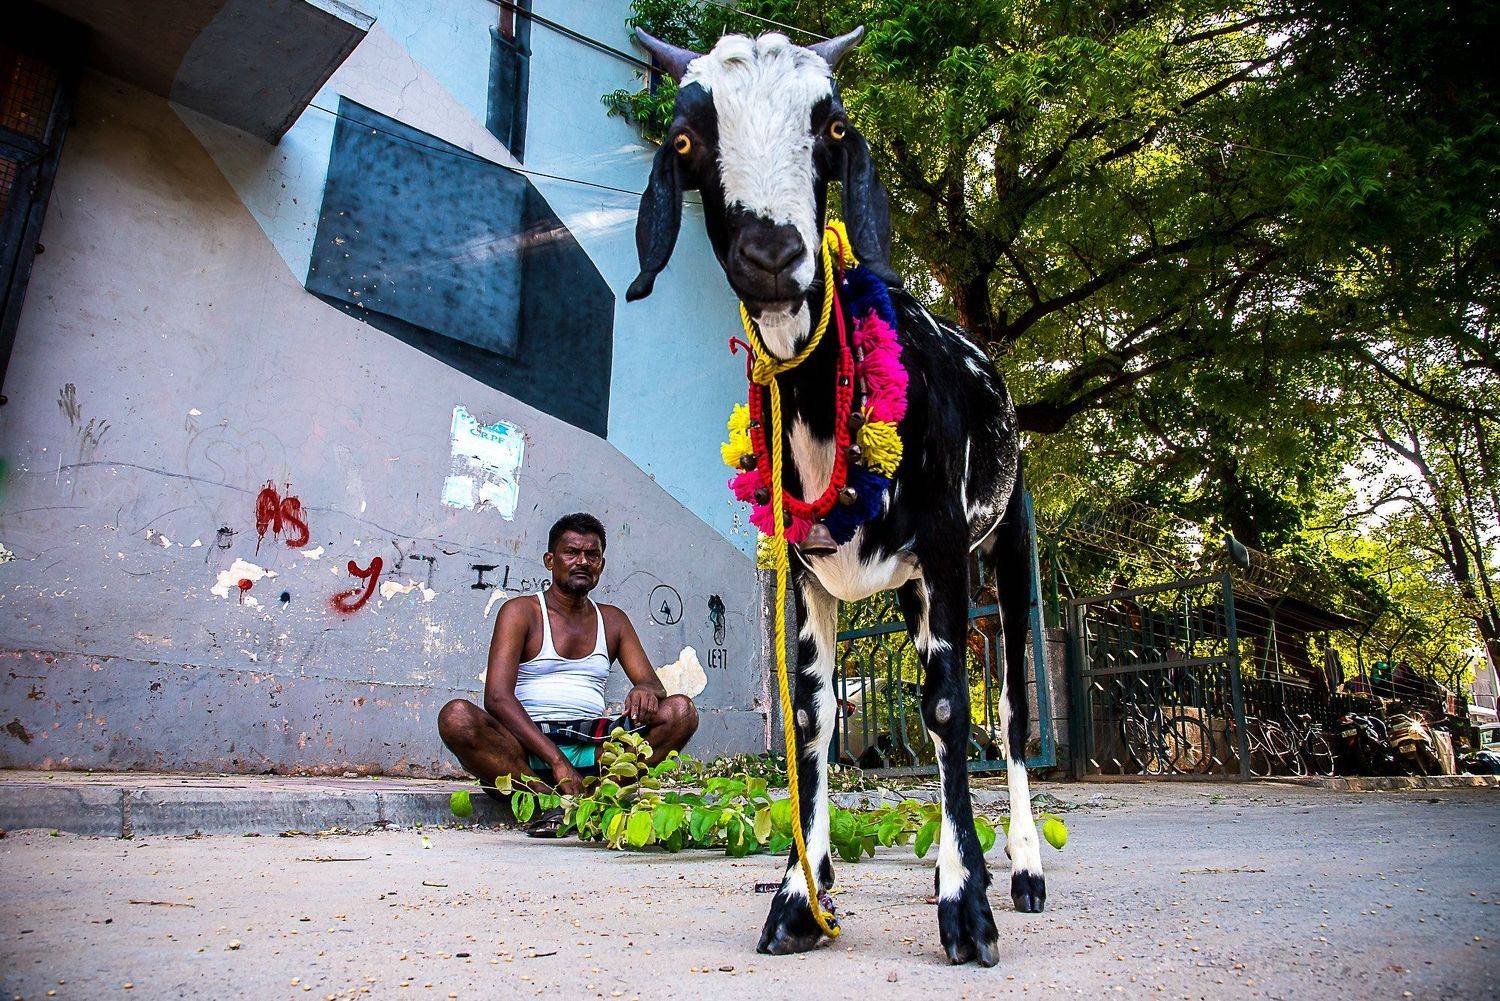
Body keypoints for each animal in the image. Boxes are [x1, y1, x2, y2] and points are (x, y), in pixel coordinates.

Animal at [627, 27, 1044, 967]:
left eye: (833, 127)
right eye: (686, 139)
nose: (773, 256)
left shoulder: (942, 552)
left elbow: (948, 708)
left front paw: (967, 907)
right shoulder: (807, 572)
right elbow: (812, 716)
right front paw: (797, 892)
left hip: (1004, 547)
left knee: (1011, 710)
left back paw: (1024, 869)